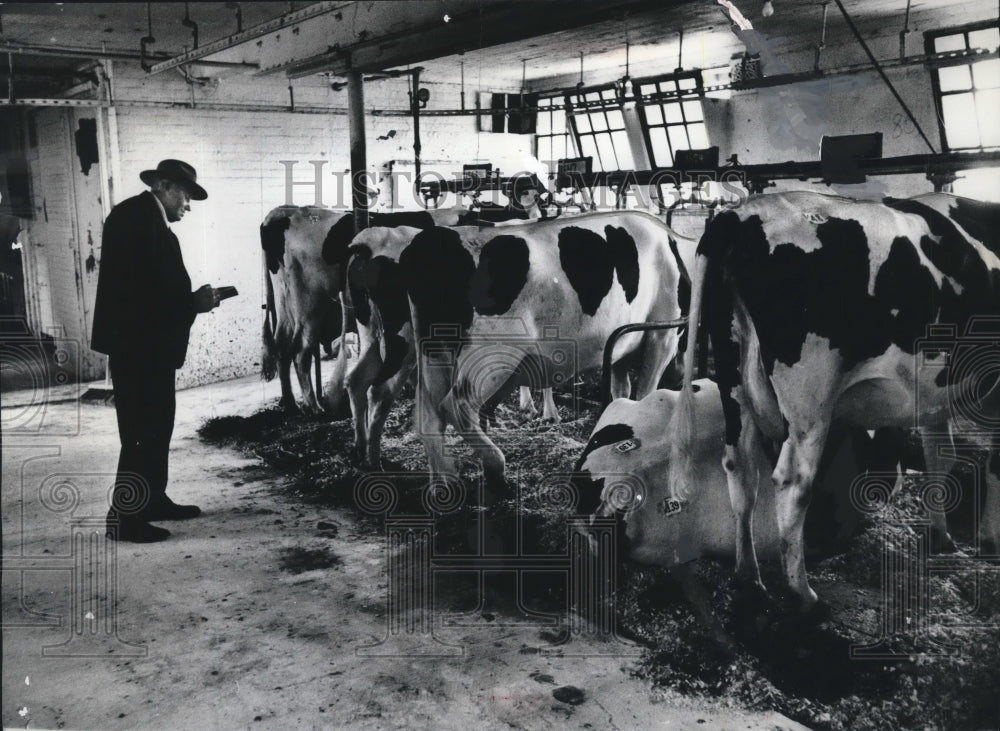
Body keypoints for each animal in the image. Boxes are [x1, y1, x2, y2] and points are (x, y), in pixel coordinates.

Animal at [672, 192, 1000, 608]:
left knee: (739, 469)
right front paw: (988, 540)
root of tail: (739, 214)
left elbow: (938, 458)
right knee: (793, 482)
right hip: (810, 399)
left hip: (733, 382)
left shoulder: (933, 395)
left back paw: (749, 576)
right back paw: (803, 595)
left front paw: (941, 537)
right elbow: (990, 463)